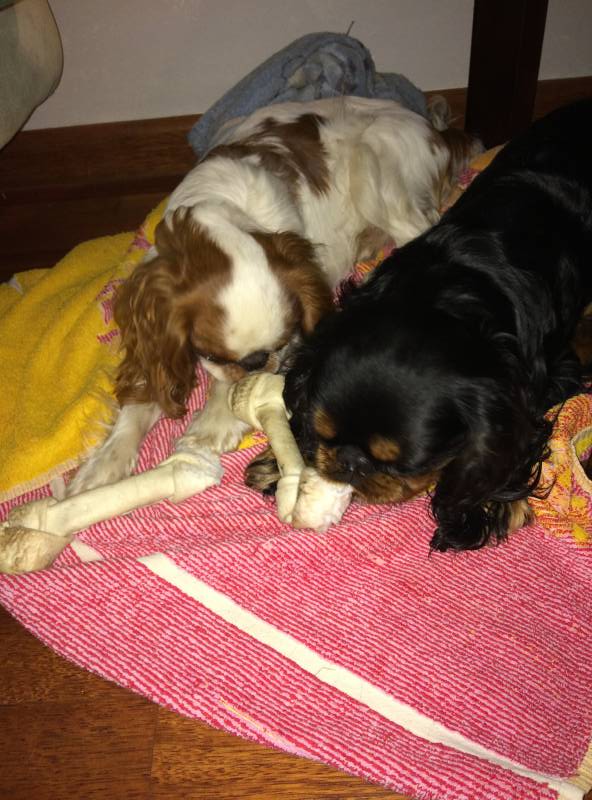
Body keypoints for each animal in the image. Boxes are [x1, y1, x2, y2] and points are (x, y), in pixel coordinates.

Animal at [67, 95, 479, 495]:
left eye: (281, 343)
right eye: (210, 354)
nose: (257, 362)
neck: (224, 210)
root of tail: (437, 131)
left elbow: (225, 388)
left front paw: (212, 423)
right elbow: (146, 395)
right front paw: (104, 465)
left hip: (375, 166)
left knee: (421, 226)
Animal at [247, 99, 592, 552]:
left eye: (405, 464)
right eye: (324, 435)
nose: (351, 461)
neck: (440, 296)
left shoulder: (539, 382)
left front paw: (482, 506)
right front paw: (279, 461)